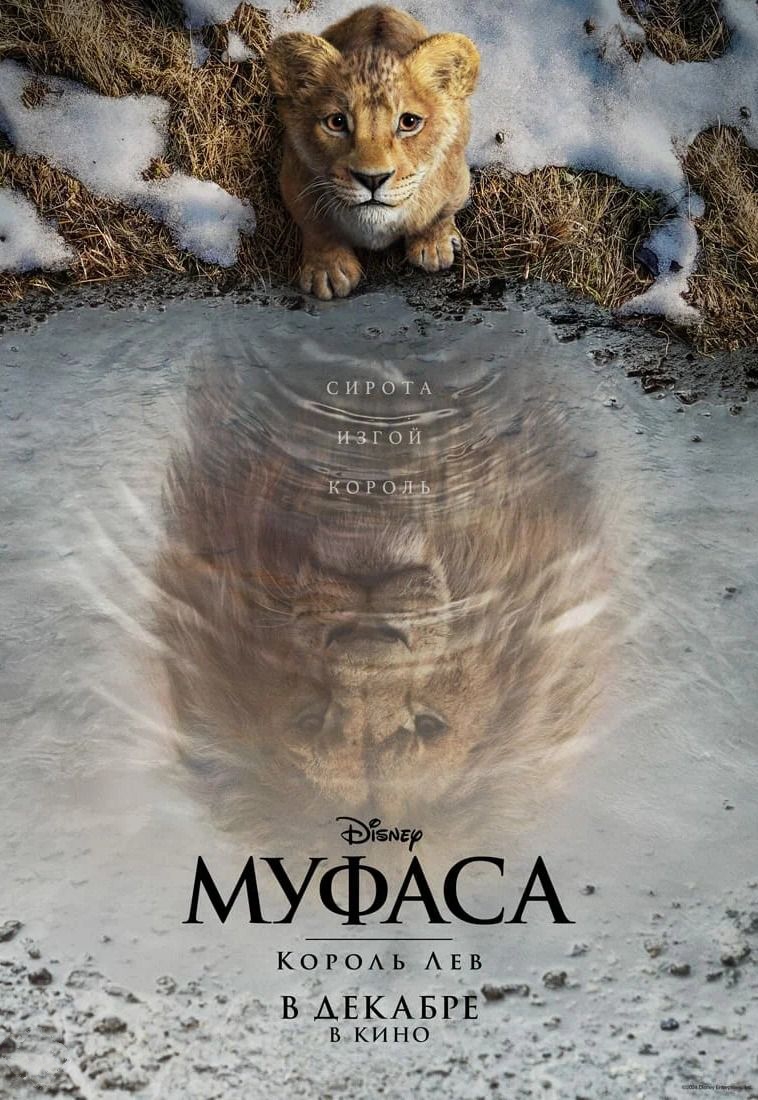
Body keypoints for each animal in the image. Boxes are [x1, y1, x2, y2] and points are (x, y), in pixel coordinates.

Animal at [266, 5, 480, 300]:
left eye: (409, 122)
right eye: (336, 122)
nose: (372, 179)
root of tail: (380, 7)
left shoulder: (456, 179)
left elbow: (440, 214)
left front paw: (434, 246)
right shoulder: (294, 179)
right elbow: (316, 226)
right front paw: (328, 271)